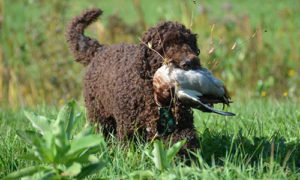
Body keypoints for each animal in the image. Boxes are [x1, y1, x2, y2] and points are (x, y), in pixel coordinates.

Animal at [67, 9, 200, 151]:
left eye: (188, 42)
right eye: (165, 45)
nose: (189, 62)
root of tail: (100, 49)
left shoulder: (181, 124)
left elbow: (184, 140)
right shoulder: (129, 126)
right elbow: (128, 148)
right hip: (99, 114)